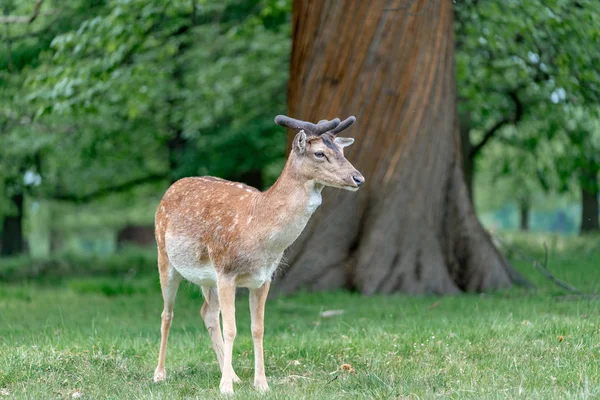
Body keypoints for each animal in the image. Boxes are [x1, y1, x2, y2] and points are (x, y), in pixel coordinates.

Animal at [152, 114, 364, 396]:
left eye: (341, 151)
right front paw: (226, 388)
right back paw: (160, 373)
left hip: (208, 278)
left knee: (207, 312)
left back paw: (233, 374)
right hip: (164, 256)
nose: (358, 178)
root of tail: (172, 187)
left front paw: (261, 384)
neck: (258, 231)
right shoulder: (227, 271)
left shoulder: (263, 279)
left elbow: (258, 329)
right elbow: (232, 329)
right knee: (167, 314)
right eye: (320, 153)